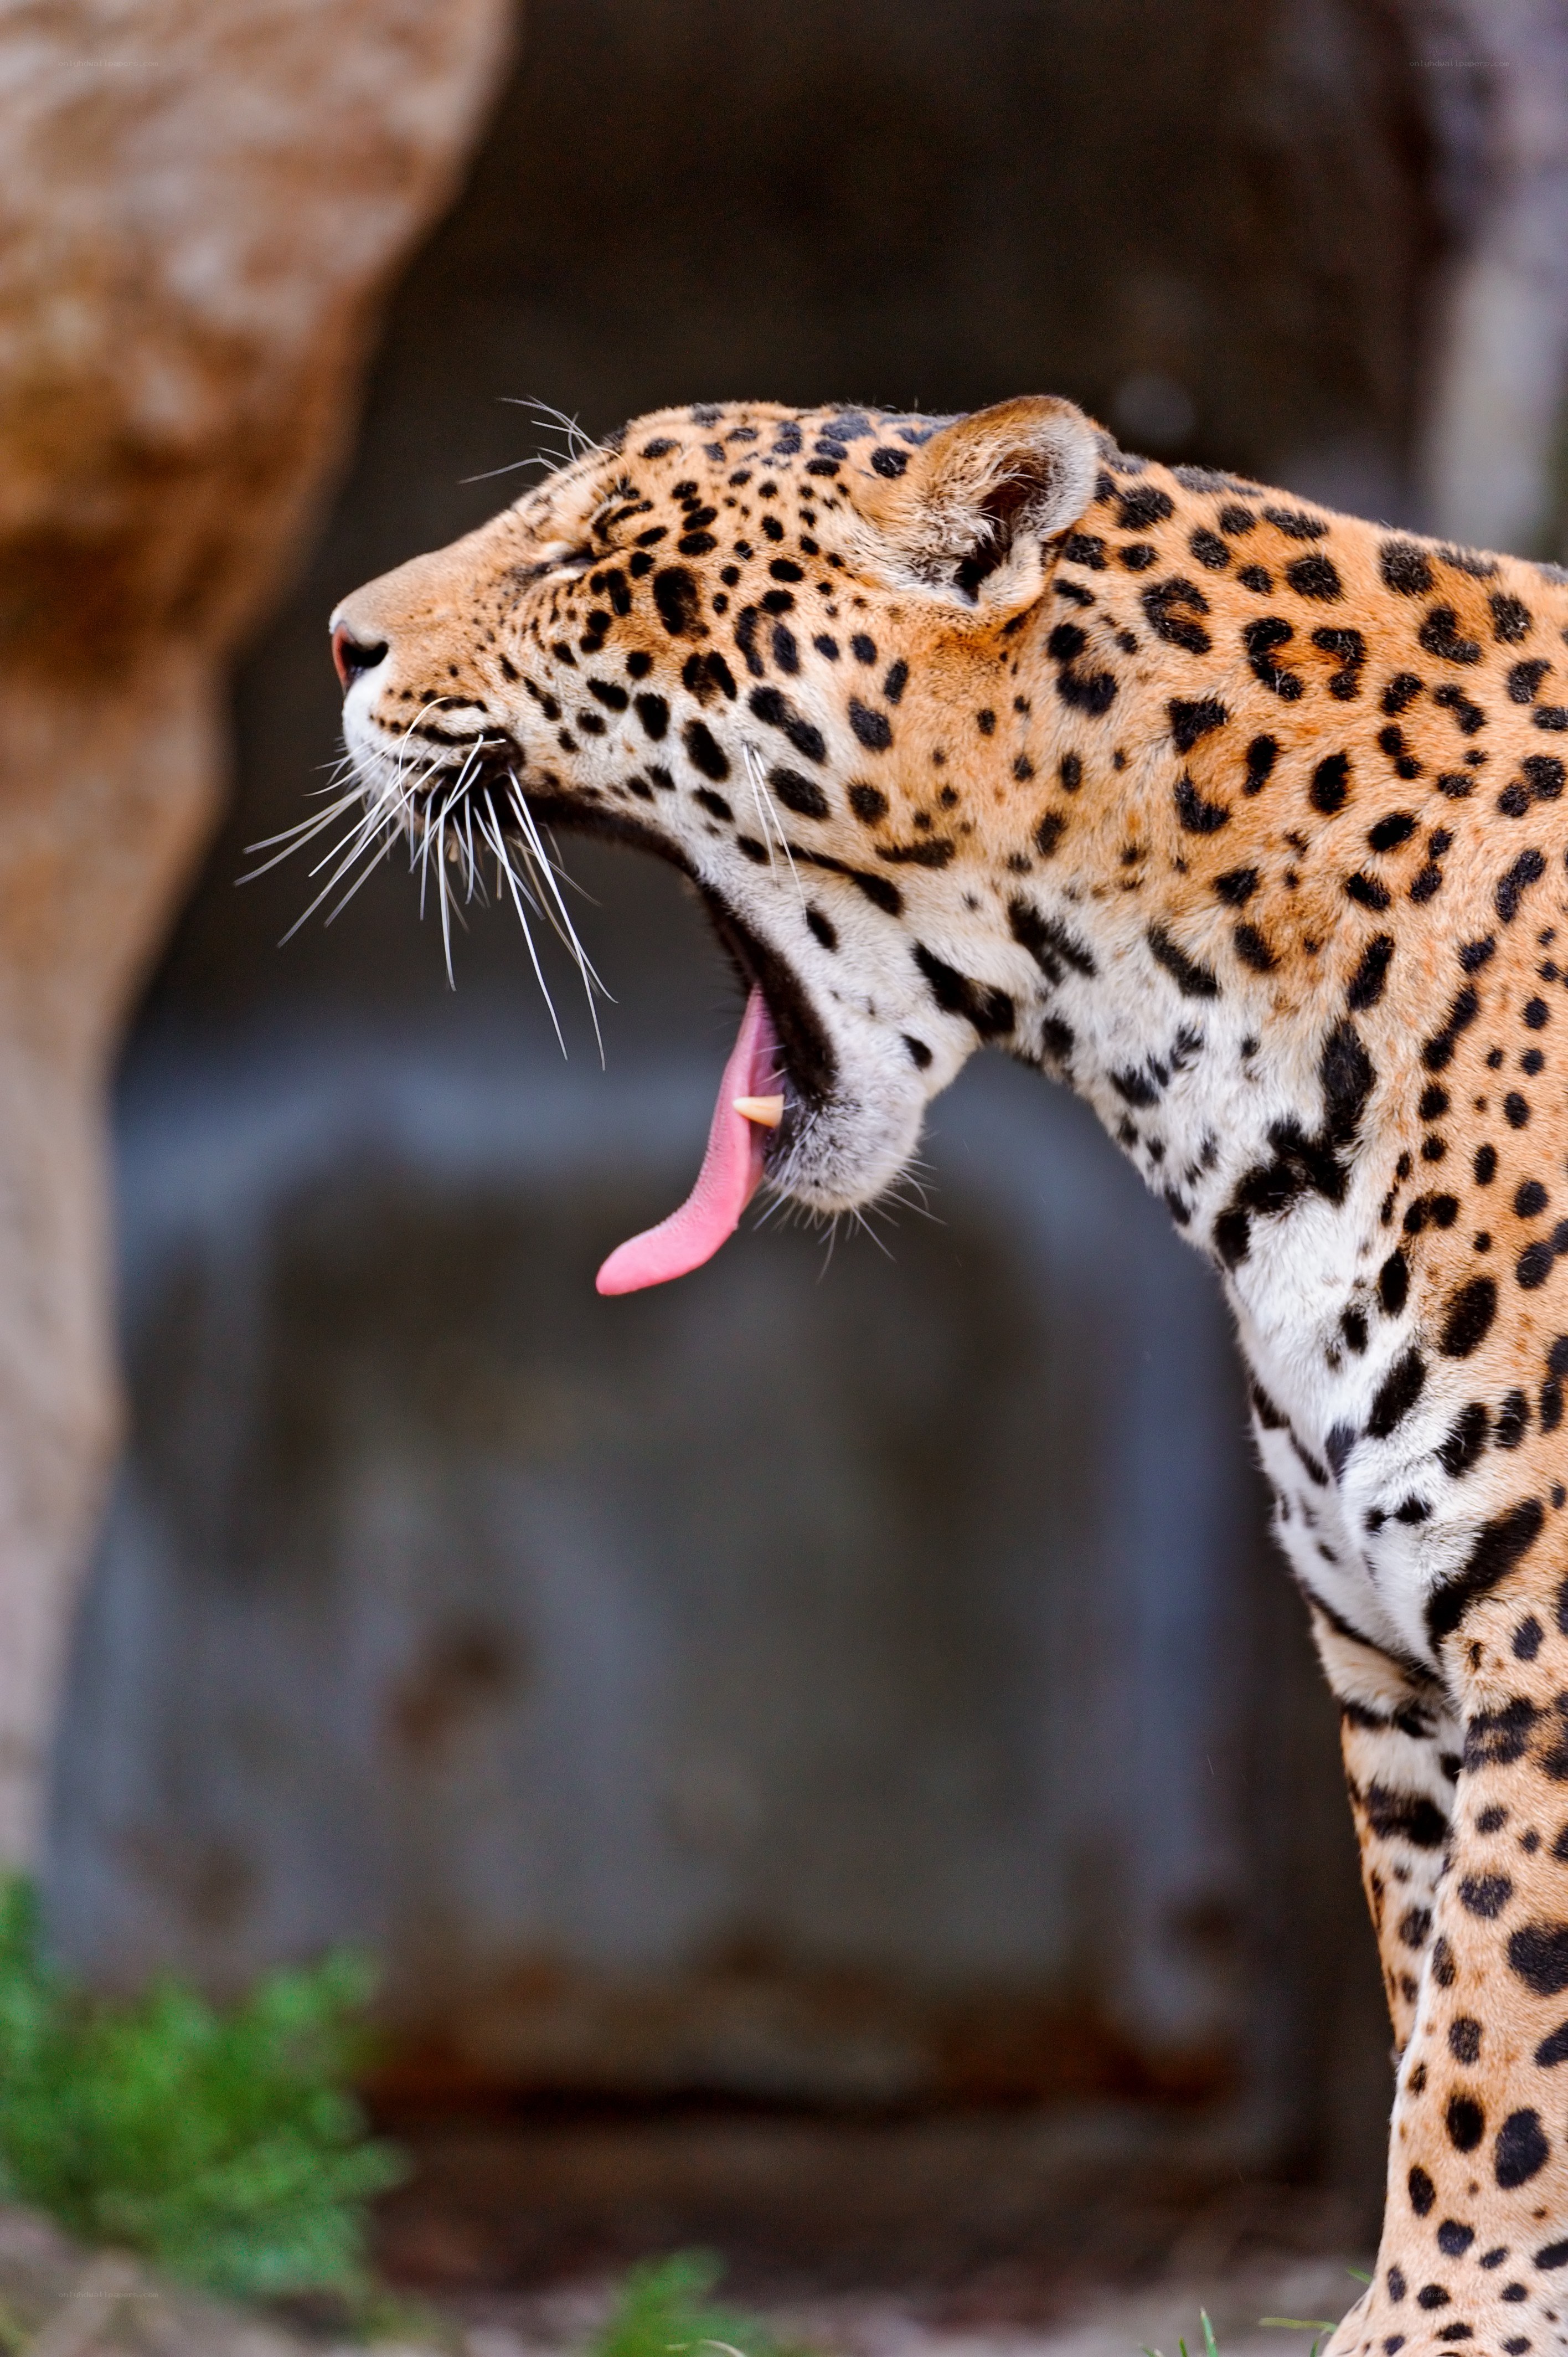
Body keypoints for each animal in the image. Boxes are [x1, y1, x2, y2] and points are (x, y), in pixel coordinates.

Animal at [326, 391, 1568, 2357]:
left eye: (585, 553)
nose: (336, 644)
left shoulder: (1543, 1647)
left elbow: (1493, 2049)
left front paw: (1437, 2318)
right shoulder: (1393, 1674)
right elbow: (1430, 1999)